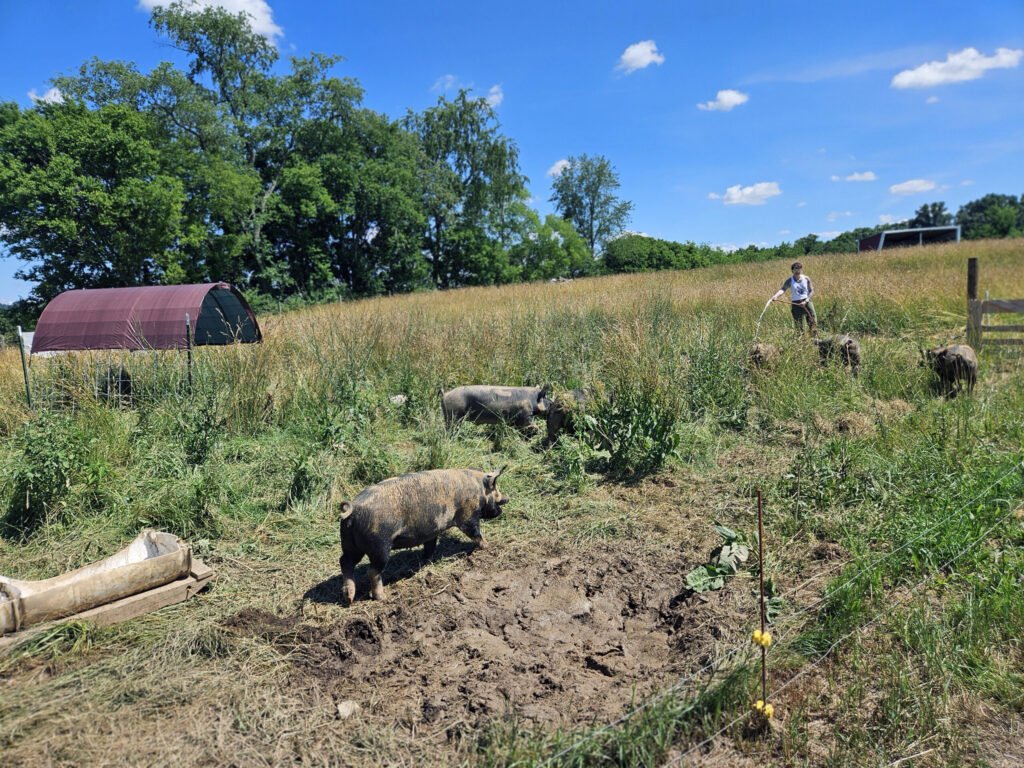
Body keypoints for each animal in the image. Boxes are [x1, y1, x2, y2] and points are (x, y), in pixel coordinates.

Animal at [339, 467, 508, 603]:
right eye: (495, 490)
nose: (506, 499)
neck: (478, 489)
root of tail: (354, 508)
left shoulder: (431, 532)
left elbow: (430, 547)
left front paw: (426, 562)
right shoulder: (467, 515)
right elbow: (475, 532)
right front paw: (488, 546)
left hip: (350, 544)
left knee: (345, 561)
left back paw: (349, 598)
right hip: (380, 545)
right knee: (372, 571)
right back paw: (382, 598)